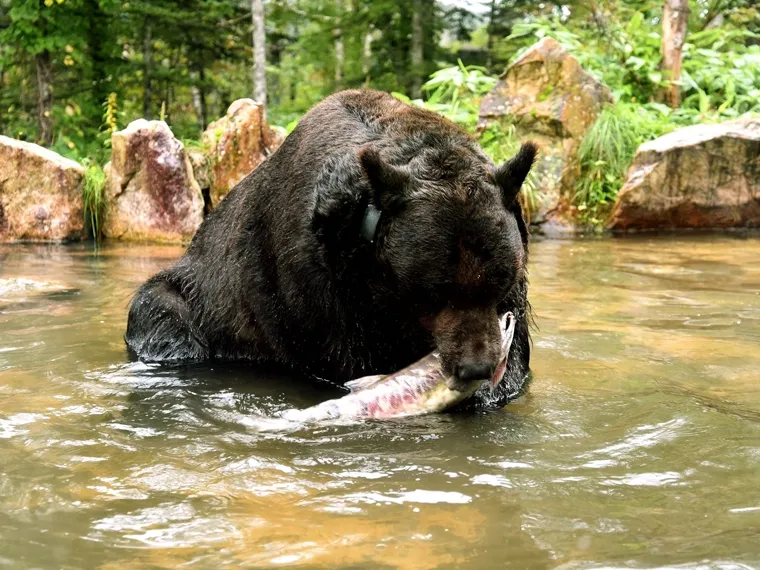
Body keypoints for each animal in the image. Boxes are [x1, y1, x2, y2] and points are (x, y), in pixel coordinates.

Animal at [124, 89, 536, 408]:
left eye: (500, 282)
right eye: (432, 294)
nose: (476, 366)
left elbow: (518, 355)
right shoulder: (318, 286)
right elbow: (346, 356)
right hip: (197, 302)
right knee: (162, 314)